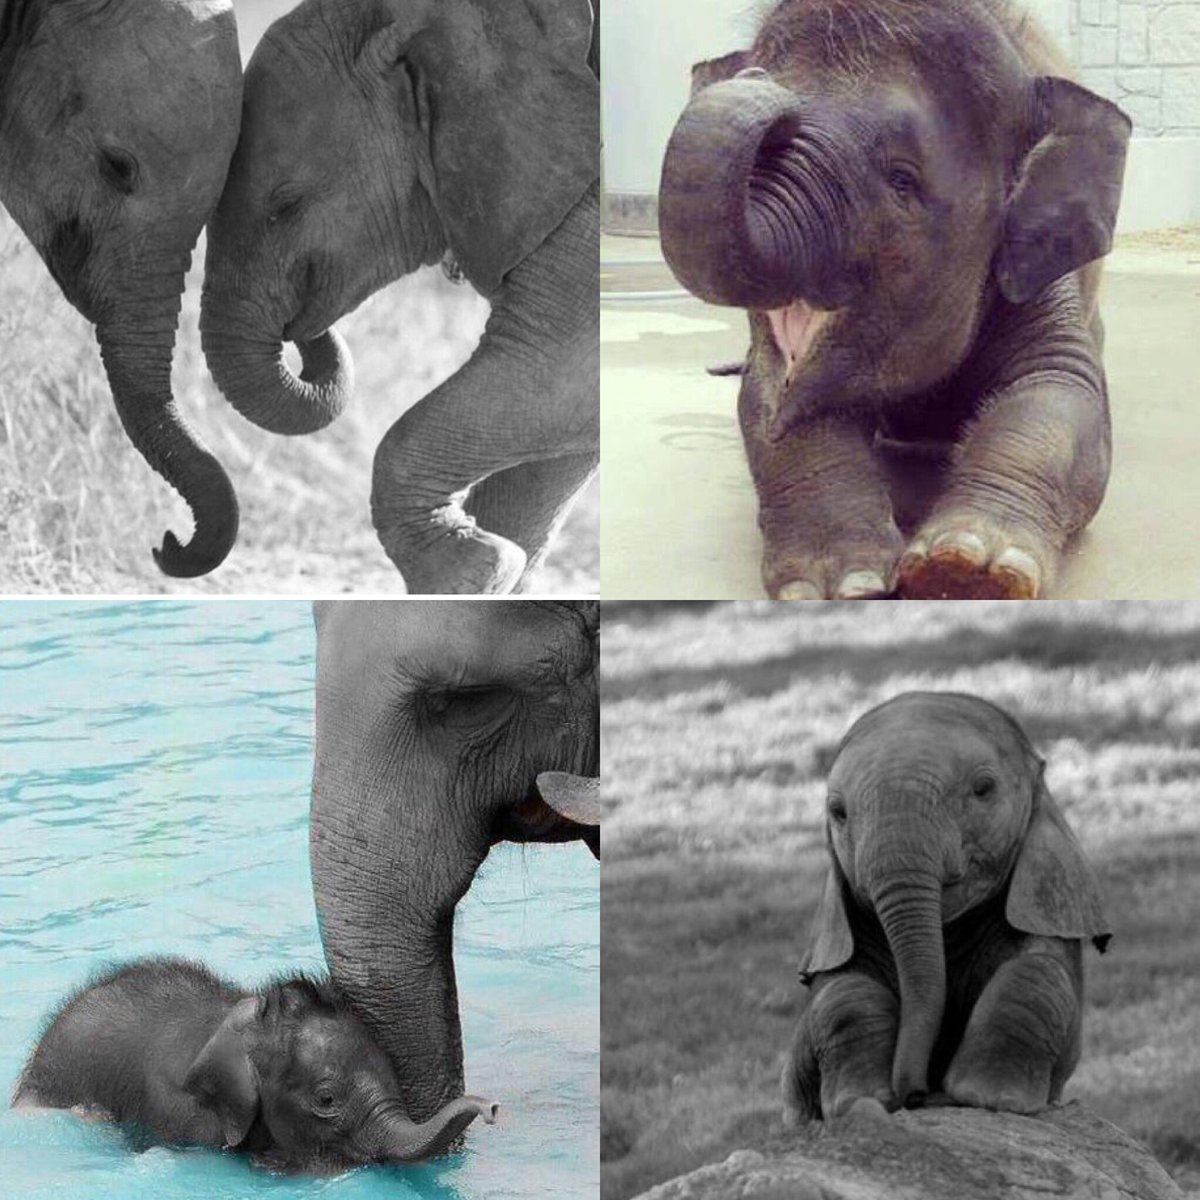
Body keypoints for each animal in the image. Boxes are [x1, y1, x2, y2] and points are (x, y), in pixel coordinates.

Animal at [199, 0, 601, 595]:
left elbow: (562, 369)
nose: (301, 328)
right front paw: (492, 572)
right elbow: (550, 458)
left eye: (286, 206)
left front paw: (471, 567)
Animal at [658, 0, 1132, 600]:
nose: (760, 79)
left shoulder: (1040, 274)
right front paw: (841, 583)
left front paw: (968, 568)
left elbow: (1058, 391)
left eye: (902, 179)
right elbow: (768, 397)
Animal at [782, 692, 1110, 1123]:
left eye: (983, 789)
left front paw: (987, 1098)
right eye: (838, 813)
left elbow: (1037, 974)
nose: (917, 1096)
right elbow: (842, 993)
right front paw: (858, 1103)